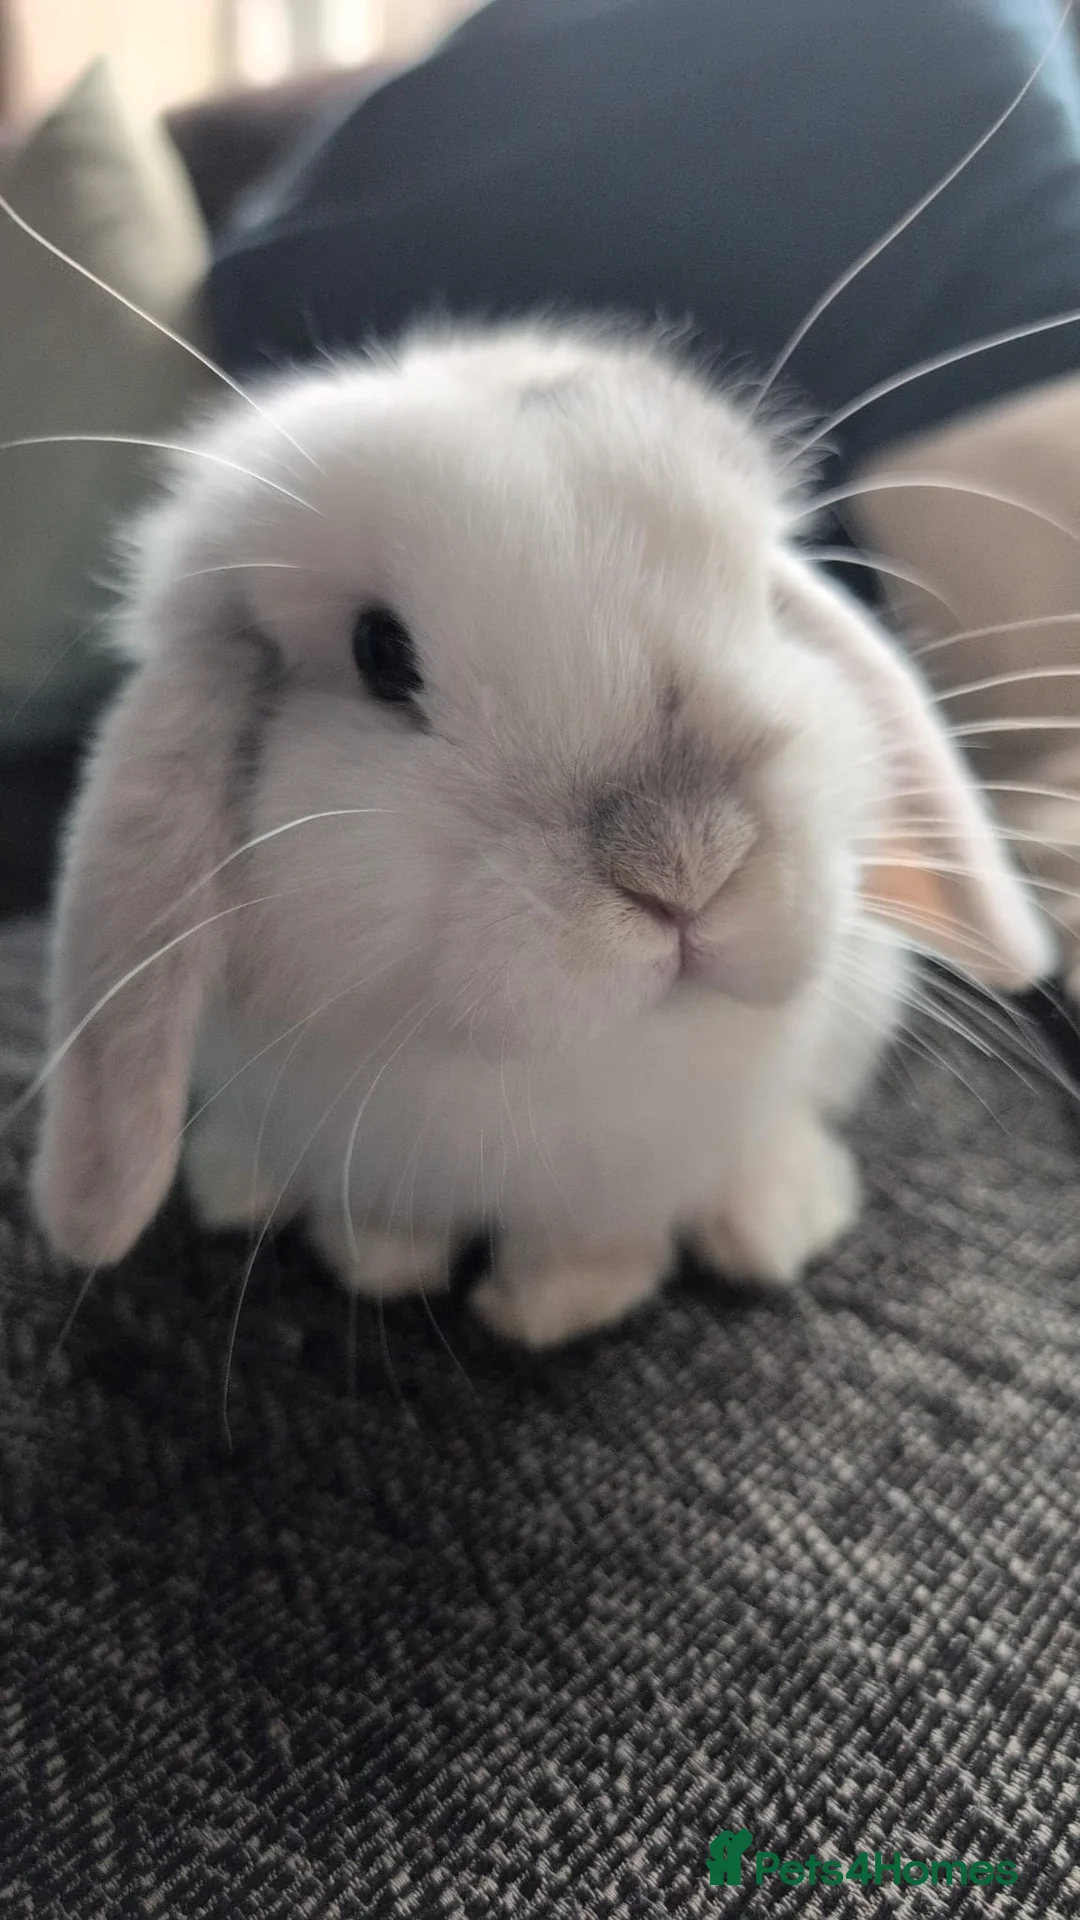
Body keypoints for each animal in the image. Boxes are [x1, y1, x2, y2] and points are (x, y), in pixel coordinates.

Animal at [29, 322, 1054, 1348]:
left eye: (761, 605)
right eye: (380, 654)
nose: (686, 869)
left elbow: (601, 1245)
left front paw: (547, 1309)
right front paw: (384, 1265)